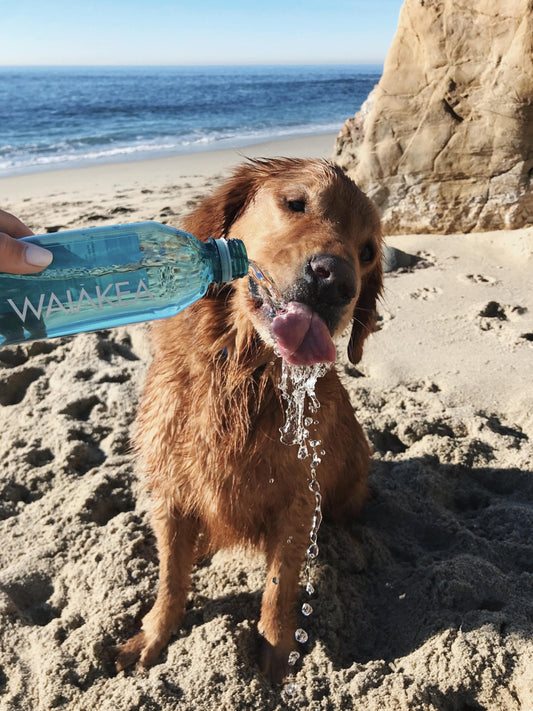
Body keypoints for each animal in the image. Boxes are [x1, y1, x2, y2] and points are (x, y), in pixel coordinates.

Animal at [116, 157, 382, 684]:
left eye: (367, 251)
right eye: (296, 202)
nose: (336, 280)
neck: (243, 374)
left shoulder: (299, 496)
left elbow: (280, 584)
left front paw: (277, 653)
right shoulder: (170, 488)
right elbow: (170, 577)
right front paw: (153, 636)